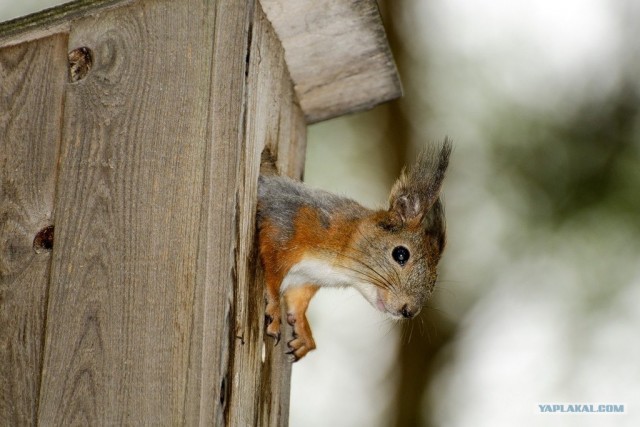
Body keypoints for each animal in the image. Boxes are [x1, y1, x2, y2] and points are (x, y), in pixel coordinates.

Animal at [255, 140, 450, 362]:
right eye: (400, 254)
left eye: (434, 280)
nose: (408, 311)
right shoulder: (285, 224)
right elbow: (273, 273)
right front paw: (274, 310)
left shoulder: (305, 280)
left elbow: (298, 301)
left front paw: (304, 332)